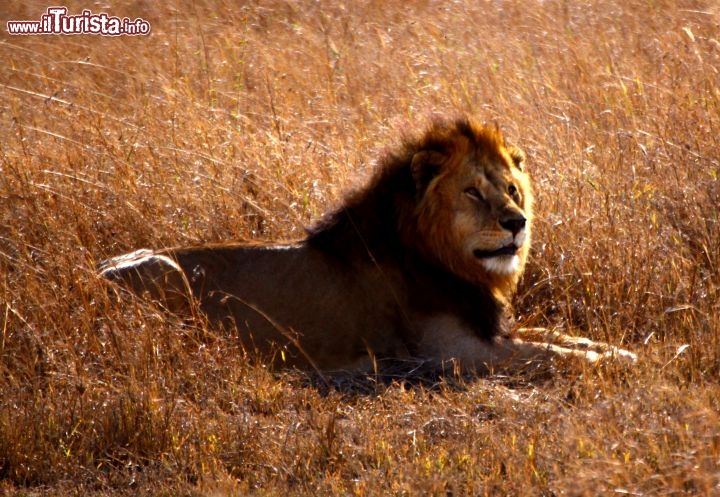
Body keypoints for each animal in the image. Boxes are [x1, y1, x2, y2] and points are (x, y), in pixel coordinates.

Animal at [97, 116, 636, 372]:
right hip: (166, 270)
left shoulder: (491, 330)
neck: (444, 260)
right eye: (472, 192)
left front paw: (628, 351)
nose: (517, 222)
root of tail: (93, 273)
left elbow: (564, 339)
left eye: (511, 189)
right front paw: (618, 364)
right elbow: (553, 355)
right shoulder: (454, 352)